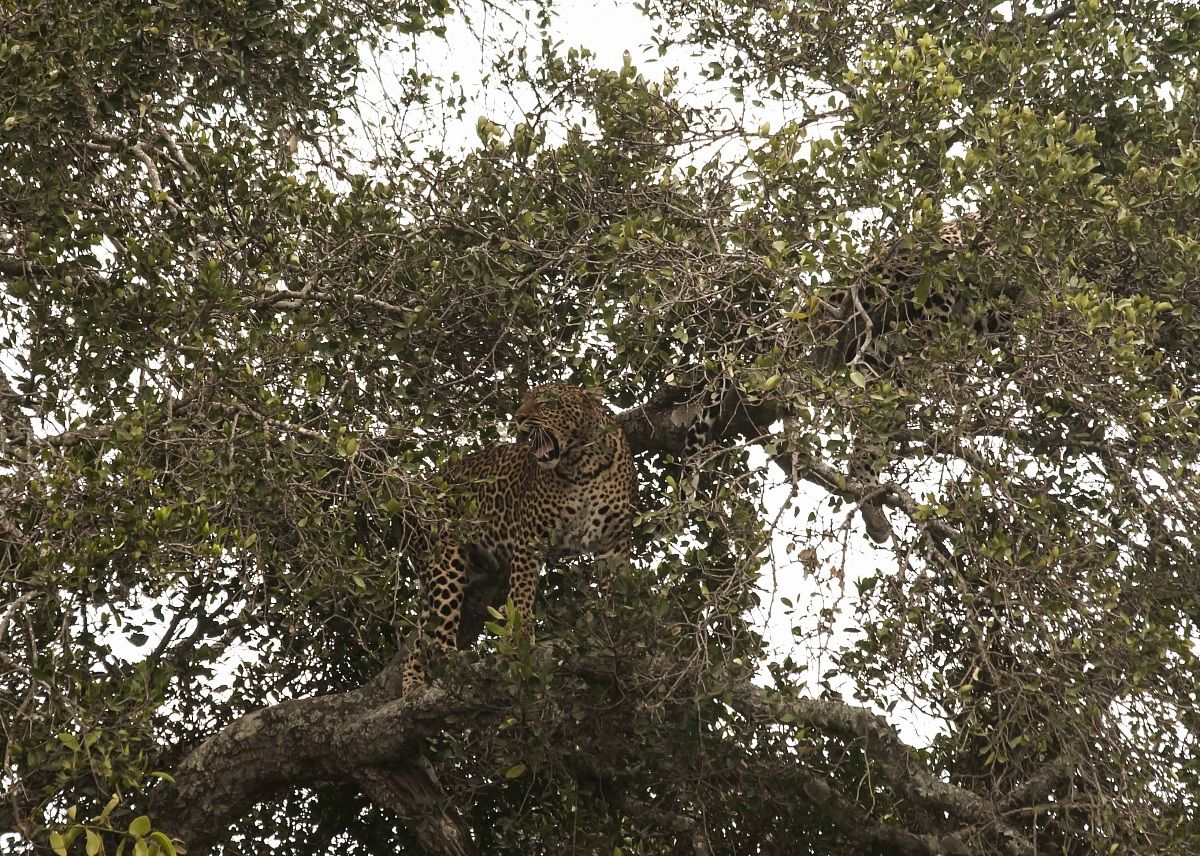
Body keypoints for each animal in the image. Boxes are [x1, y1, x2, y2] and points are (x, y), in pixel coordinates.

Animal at [402, 383, 637, 692]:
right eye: (524, 401)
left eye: (545, 402)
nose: (518, 418)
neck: (583, 465)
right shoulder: (530, 539)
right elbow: (522, 596)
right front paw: (518, 642)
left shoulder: (614, 540)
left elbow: (616, 589)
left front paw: (617, 631)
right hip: (444, 562)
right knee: (439, 631)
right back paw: (453, 663)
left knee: (419, 640)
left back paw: (413, 685)